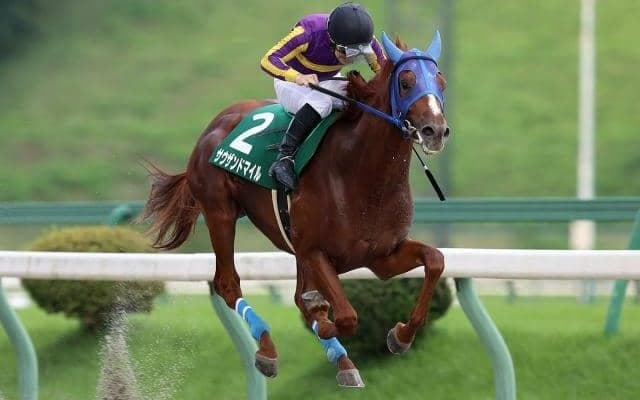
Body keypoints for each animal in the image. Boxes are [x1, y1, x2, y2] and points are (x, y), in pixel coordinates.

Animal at [140, 31, 450, 388]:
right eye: (406, 82)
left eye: (441, 81)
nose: (435, 130)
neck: (360, 174)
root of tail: (217, 122)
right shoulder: (315, 250)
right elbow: (344, 316)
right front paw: (325, 320)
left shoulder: (381, 257)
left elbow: (435, 260)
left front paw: (401, 335)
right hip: (220, 212)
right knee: (228, 283)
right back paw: (267, 349)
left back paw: (342, 361)